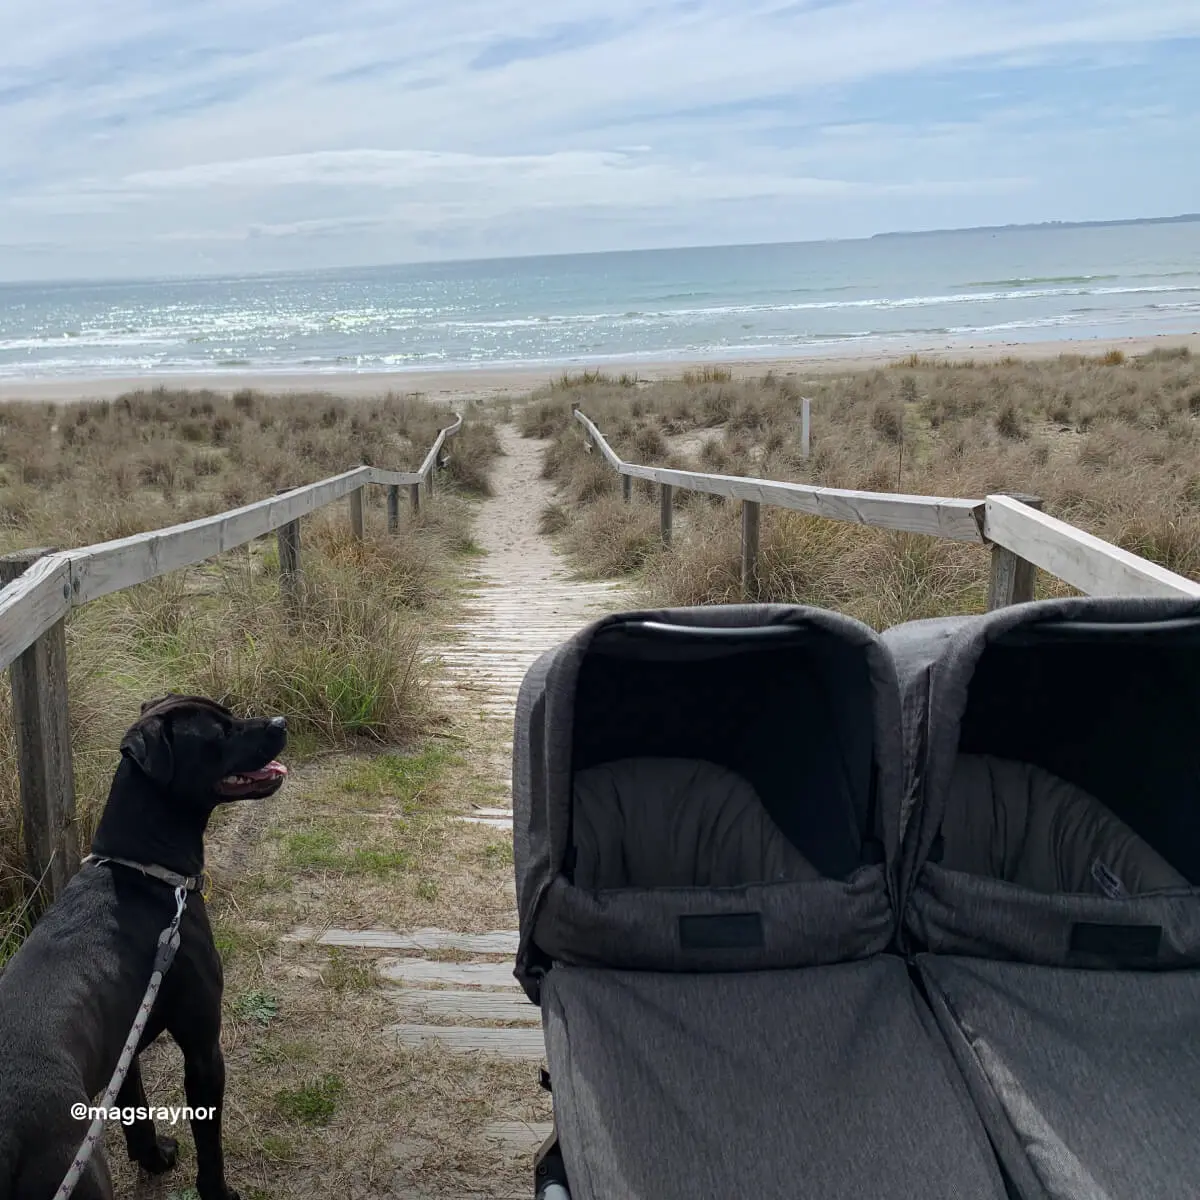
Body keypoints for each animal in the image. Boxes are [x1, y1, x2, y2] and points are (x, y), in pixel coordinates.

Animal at [0, 694, 287, 1200]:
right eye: (220, 731)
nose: (281, 721)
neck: (143, 870)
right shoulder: (202, 1047)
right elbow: (208, 1140)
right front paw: (218, 1192)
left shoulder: (124, 1045)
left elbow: (136, 1108)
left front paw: (153, 1158)